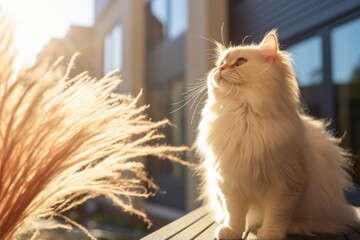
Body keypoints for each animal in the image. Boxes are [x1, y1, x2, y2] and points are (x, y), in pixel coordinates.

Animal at [195, 30, 358, 240]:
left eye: (240, 62)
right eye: (220, 63)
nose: (220, 69)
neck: (243, 117)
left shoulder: (286, 185)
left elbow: (277, 214)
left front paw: (270, 232)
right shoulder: (229, 183)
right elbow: (235, 214)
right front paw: (231, 231)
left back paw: (294, 227)